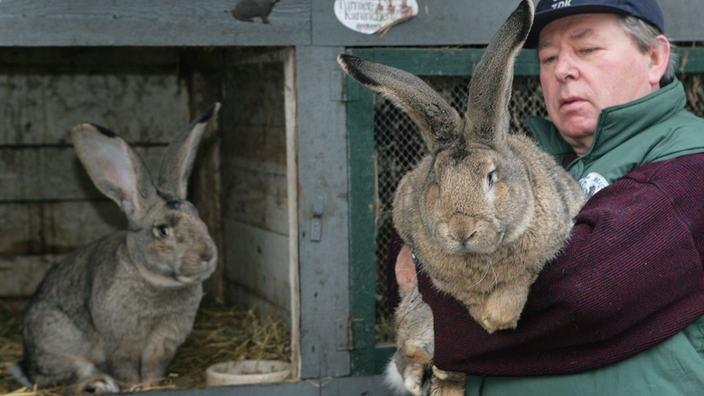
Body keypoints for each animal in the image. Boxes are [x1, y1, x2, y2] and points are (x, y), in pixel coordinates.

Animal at [10, 103, 220, 392]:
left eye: (199, 217)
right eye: (163, 231)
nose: (207, 256)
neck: (155, 282)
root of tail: (29, 366)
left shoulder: (163, 341)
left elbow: (154, 368)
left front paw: (152, 385)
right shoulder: (120, 341)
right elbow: (125, 367)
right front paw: (133, 387)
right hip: (58, 342)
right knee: (64, 383)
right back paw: (100, 384)